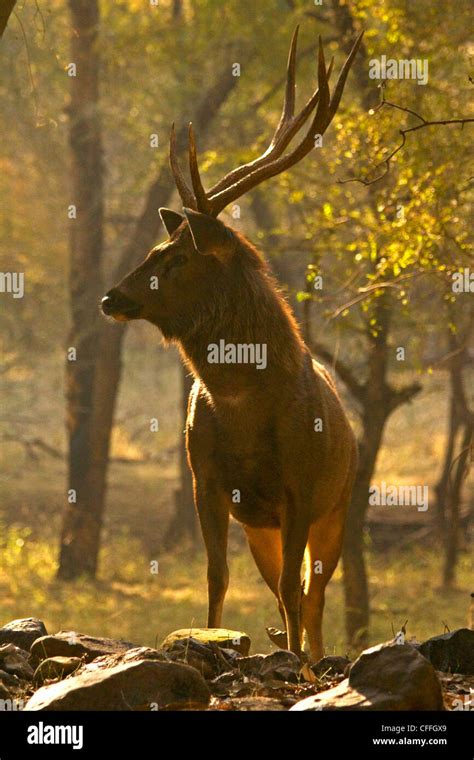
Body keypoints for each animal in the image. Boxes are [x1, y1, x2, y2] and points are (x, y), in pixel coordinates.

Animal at [102, 28, 362, 660]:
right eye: (154, 249)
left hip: (341, 504)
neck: (244, 407)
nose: (109, 297)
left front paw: (300, 666)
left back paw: (310, 654)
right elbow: (216, 578)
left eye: (175, 258)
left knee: (312, 596)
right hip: (260, 526)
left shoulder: (301, 489)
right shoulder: (208, 482)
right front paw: (212, 639)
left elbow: (295, 592)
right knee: (289, 591)